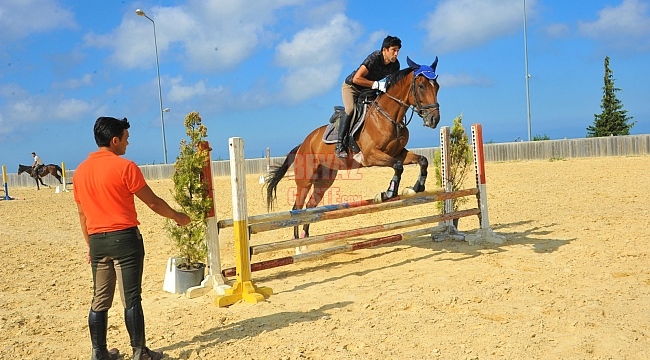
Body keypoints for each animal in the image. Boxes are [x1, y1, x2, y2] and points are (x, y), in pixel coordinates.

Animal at [264, 56, 440, 239]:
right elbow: (398, 167)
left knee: (310, 205)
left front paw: (416, 187)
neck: (389, 116)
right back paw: (298, 240)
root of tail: (304, 143)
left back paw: (305, 237)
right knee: (297, 208)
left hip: (324, 180)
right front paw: (387, 193)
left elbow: (422, 160)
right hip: (305, 180)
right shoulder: (371, 156)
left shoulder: (398, 153)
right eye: (421, 86)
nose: (434, 119)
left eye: (437, 86)